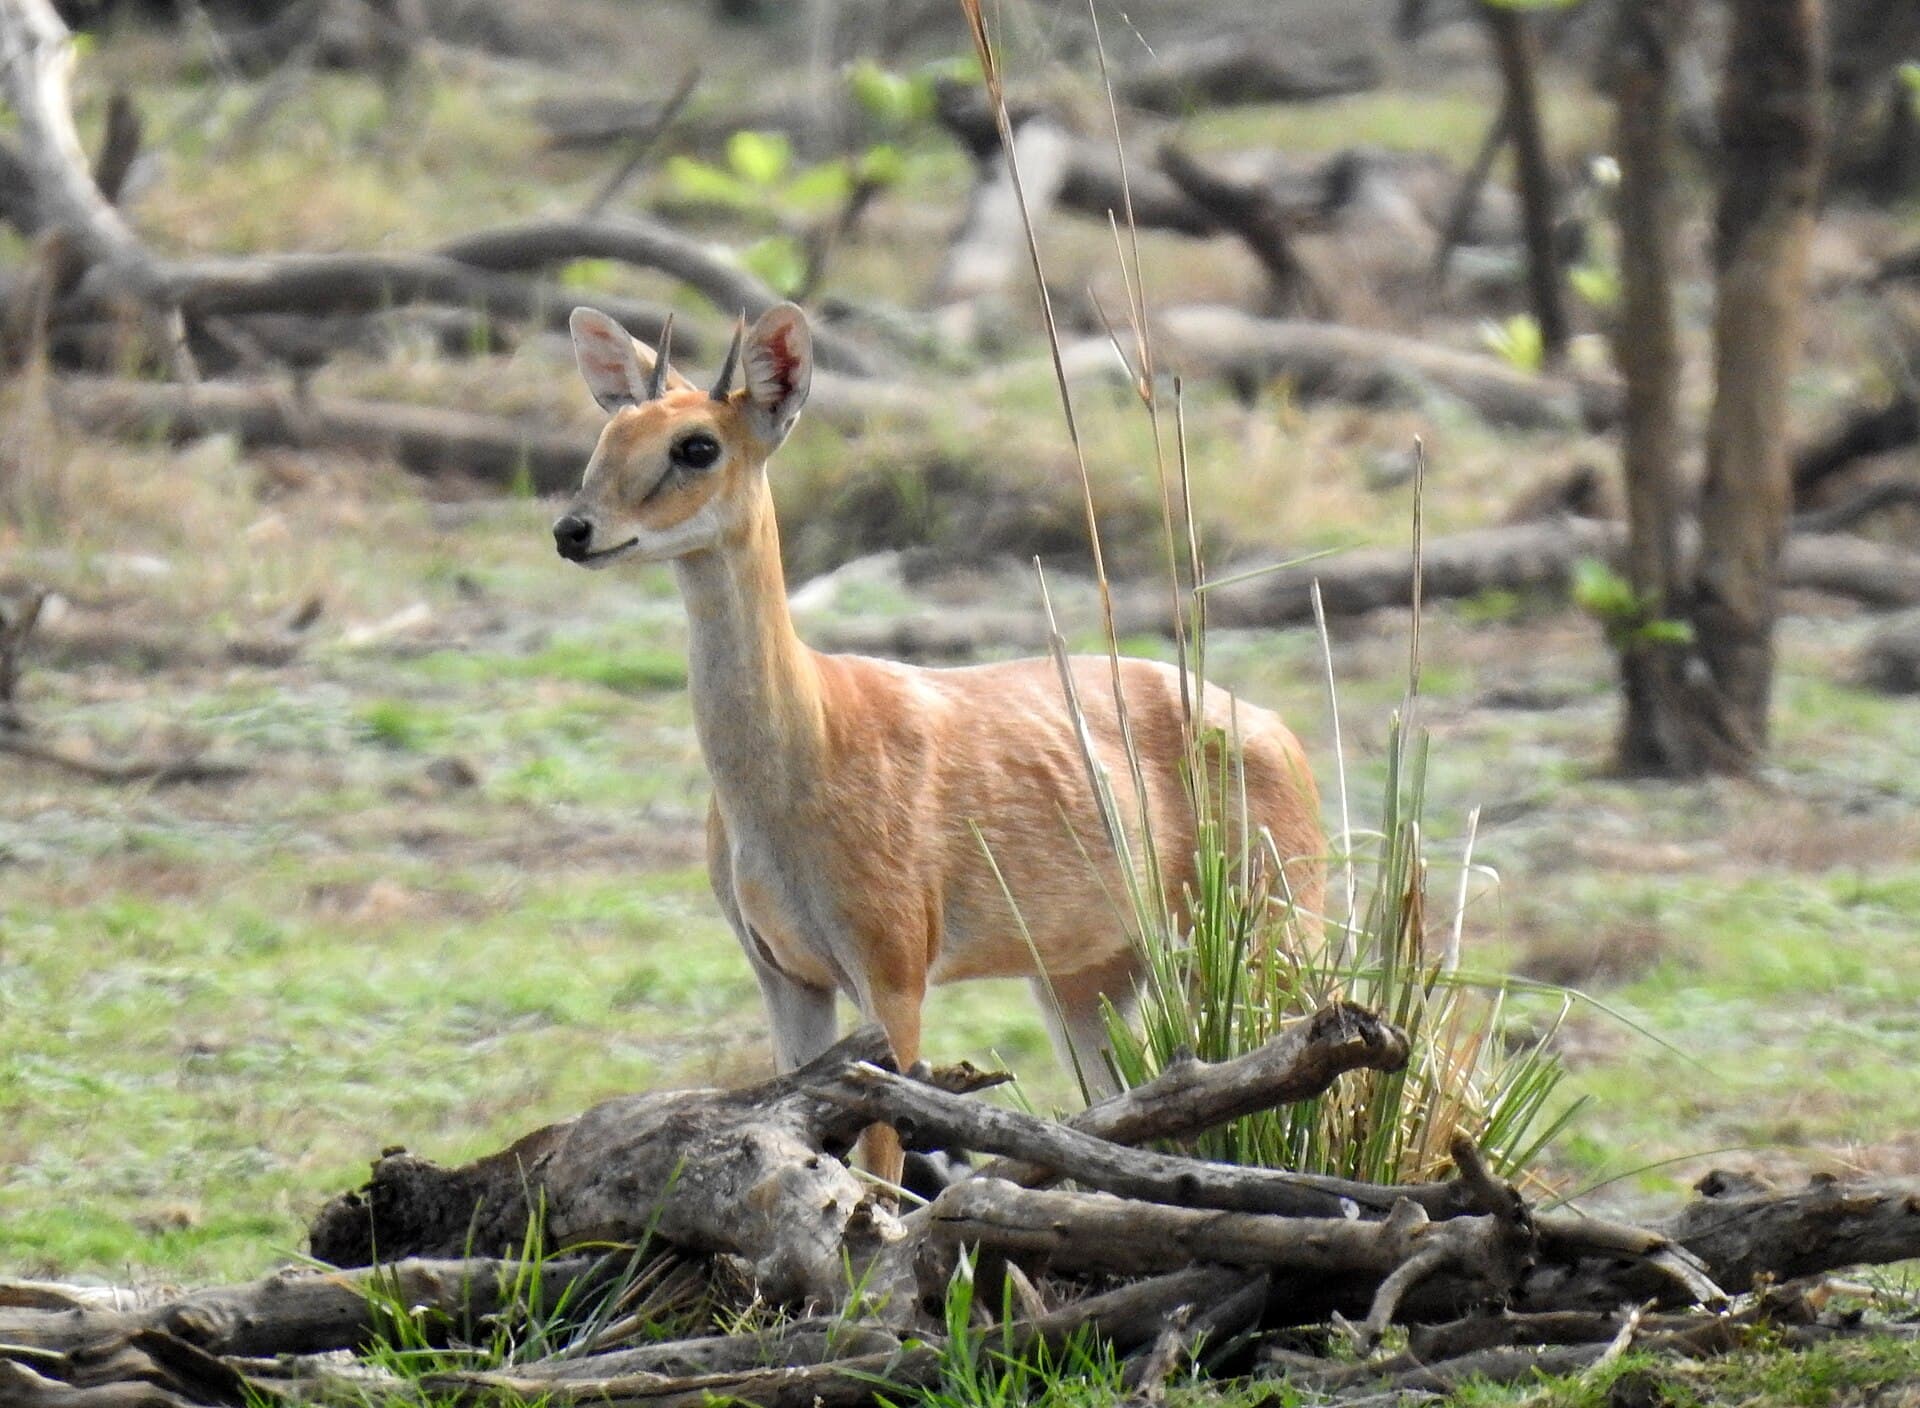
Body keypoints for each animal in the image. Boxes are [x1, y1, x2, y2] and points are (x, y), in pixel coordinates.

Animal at [552, 302, 1324, 1183]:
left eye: (697, 445)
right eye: (612, 430)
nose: (574, 530)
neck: (808, 748)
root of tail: (1280, 733)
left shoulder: (895, 965)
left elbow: (883, 1161)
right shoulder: (779, 969)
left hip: (1278, 919)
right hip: (1089, 974)